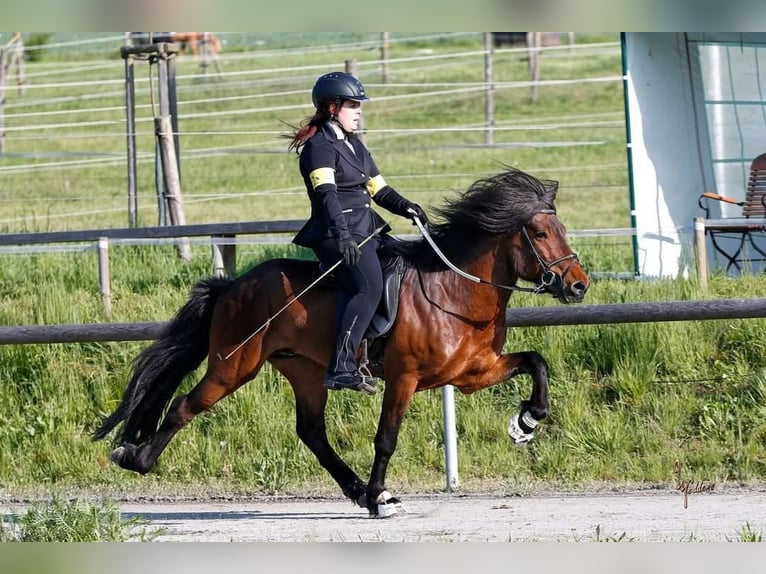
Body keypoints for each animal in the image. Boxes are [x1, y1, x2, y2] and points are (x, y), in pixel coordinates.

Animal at [92, 167, 589, 517]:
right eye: (541, 233)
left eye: (562, 230)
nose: (579, 286)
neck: (454, 289)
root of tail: (233, 285)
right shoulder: (405, 378)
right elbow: (386, 438)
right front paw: (382, 497)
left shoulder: (472, 372)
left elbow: (536, 361)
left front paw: (526, 422)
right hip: (233, 365)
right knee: (184, 407)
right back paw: (134, 457)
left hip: (305, 370)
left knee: (311, 432)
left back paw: (354, 490)